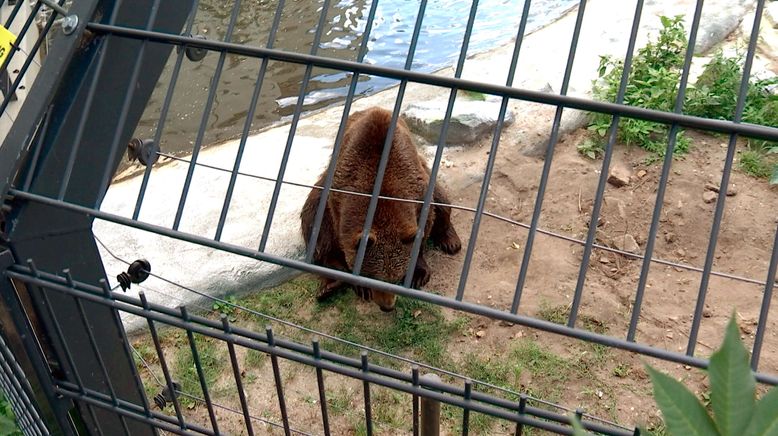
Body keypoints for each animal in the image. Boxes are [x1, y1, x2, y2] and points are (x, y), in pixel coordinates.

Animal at [300, 106, 460, 312]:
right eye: (371, 277)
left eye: (396, 278)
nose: (387, 306)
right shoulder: (338, 195)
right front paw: (360, 286)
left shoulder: (418, 190)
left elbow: (425, 225)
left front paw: (418, 273)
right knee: (313, 220)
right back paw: (330, 283)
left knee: (442, 202)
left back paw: (451, 241)